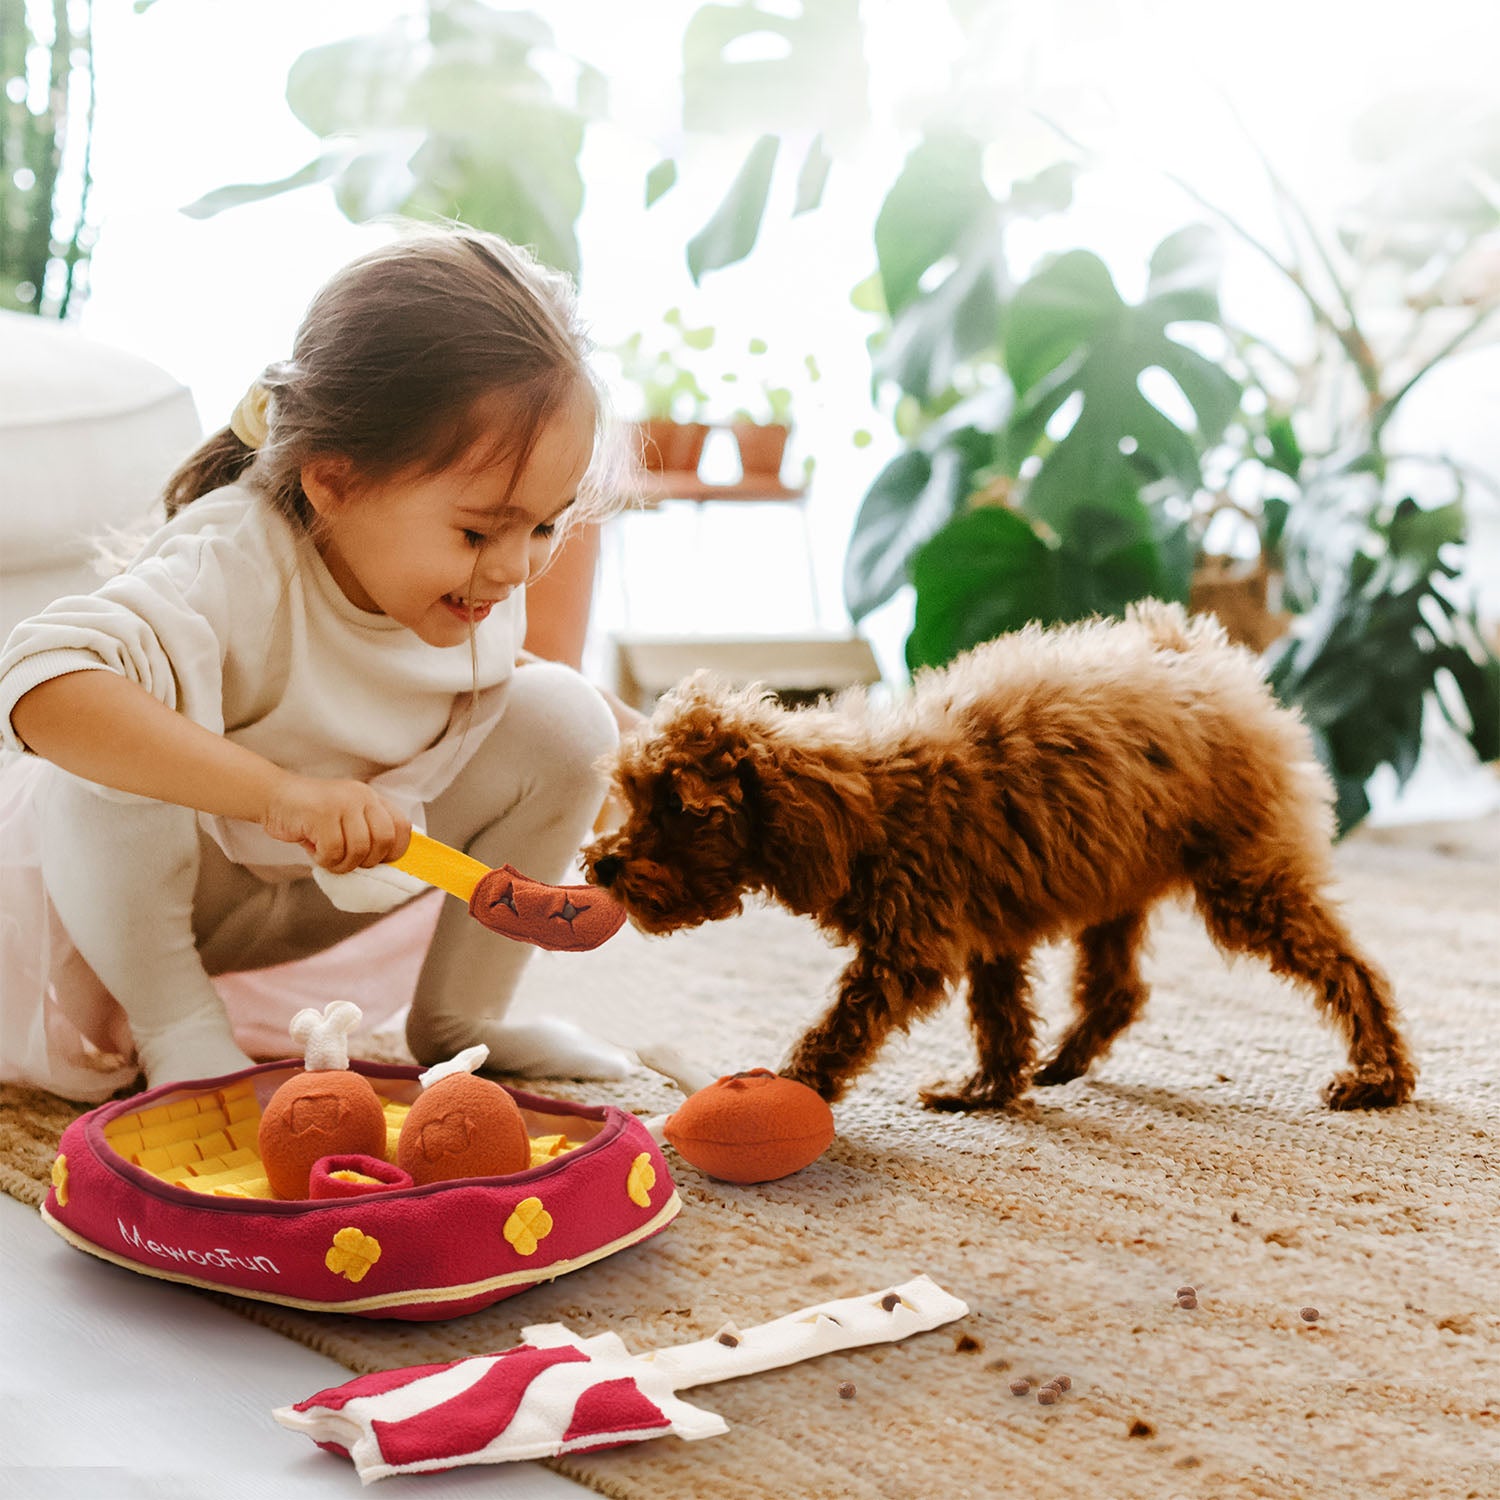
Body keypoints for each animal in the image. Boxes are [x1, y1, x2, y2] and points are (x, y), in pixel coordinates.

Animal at [588, 600, 1416, 1116]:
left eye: (682, 812)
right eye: (632, 800)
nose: (601, 866)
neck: (867, 801)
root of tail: (1205, 659)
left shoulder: (910, 948)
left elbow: (840, 1027)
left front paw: (790, 1086)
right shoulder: (988, 928)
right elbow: (999, 1019)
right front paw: (986, 1091)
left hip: (1242, 882)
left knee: (1351, 967)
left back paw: (1379, 1075)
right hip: (1118, 878)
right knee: (1119, 989)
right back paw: (1064, 1063)